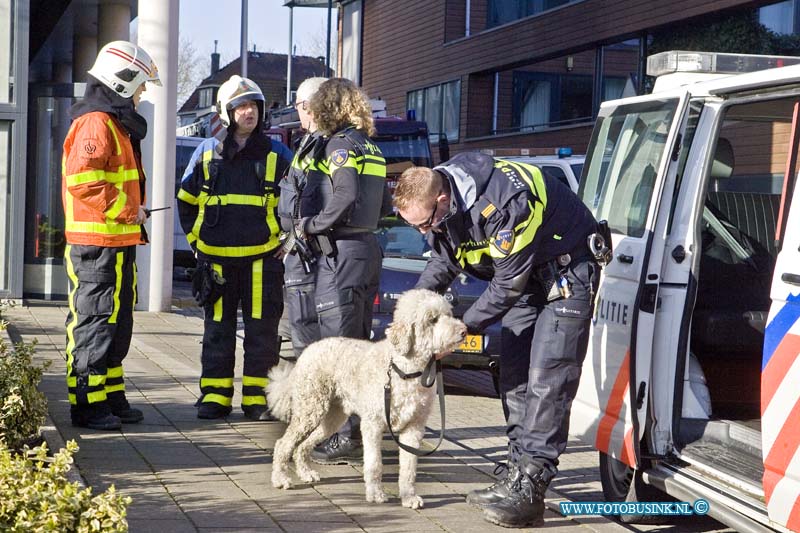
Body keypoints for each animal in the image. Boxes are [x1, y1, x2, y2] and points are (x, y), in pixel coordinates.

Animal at [268, 288, 468, 510]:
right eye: (432, 319)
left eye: (448, 314)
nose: (464, 331)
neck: (405, 370)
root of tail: (307, 351)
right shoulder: (373, 424)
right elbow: (374, 464)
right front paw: (376, 494)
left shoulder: (414, 428)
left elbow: (409, 468)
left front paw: (408, 497)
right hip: (310, 409)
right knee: (283, 443)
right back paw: (280, 479)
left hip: (333, 416)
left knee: (303, 445)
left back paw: (305, 473)